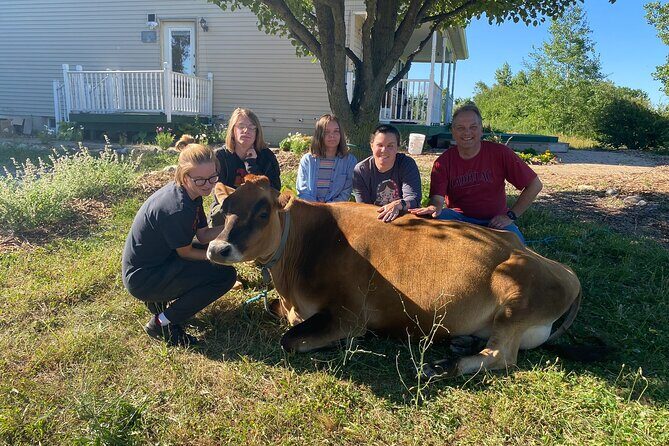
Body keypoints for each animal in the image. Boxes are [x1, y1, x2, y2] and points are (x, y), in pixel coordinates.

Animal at [206, 175, 582, 377]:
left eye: (263, 212)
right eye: (224, 209)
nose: (217, 248)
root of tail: (566, 273)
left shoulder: (349, 315)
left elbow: (290, 340)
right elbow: (274, 310)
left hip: (514, 298)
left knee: (501, 356)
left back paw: (440, 367)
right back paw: (461, 343)